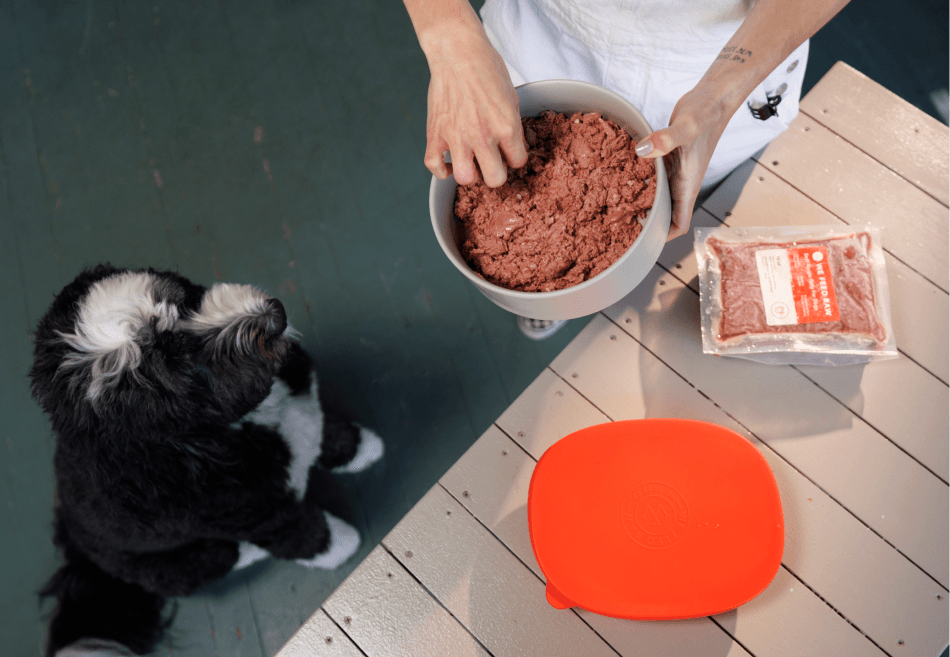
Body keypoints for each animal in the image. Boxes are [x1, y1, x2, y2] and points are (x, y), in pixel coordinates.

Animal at [32, 266, 384, 656]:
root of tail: (78, 554)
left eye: (183, 301)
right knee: (221, 559)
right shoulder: (263, 515)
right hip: (172, 565)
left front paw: (359, 448)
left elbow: (322, 428)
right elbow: (306, 535)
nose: (274, 314)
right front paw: (343, 547)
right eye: (182, 365)